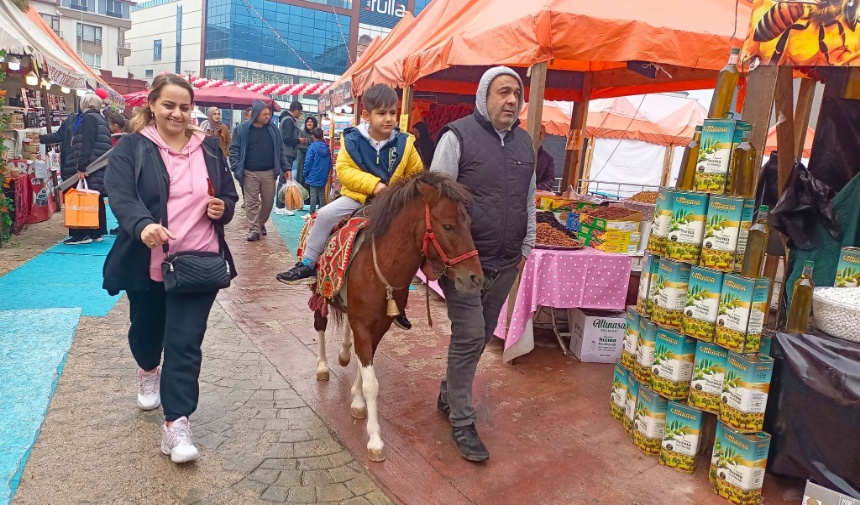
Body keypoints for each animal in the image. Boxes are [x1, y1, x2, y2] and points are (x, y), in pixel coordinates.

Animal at [312, 172, 484, 460]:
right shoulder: (363, 325)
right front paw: (375, 440)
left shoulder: (378, 326)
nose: (476, 279)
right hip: (318, 291)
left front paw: (357, 400)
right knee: (320, 324)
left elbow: (365, 366)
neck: (380, 269)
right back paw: (323, 366)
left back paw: (344, 353)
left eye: (470, 223)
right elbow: (372, 383)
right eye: (448, 226)